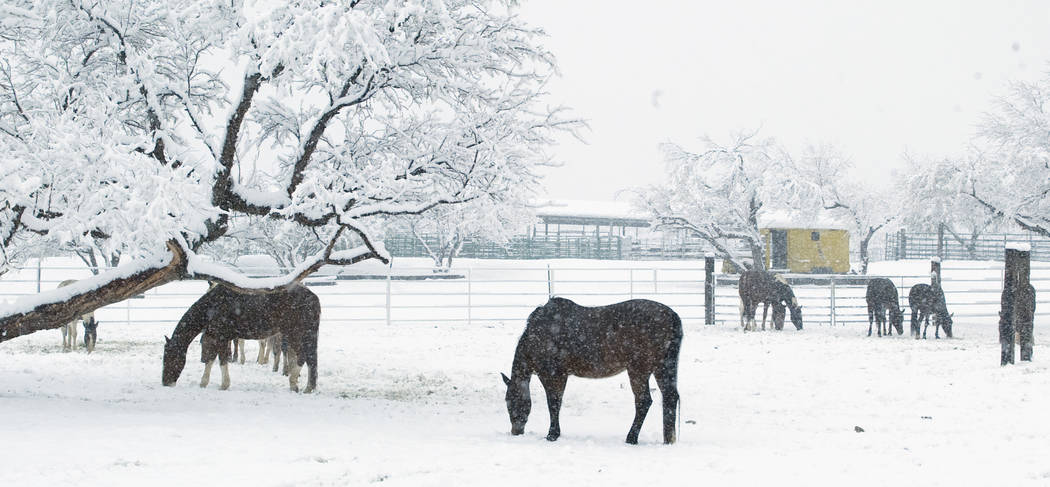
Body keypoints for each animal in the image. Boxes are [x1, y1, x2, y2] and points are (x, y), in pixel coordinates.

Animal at [161, 283, 319, 394]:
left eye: (170, 357)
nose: (165, 383)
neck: (213, 306)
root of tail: (313, 297)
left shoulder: (221, 337)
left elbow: (220, 360)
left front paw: (222, 385)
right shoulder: (218, 338)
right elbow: (212, 359)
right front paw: (204, 383)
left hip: (295, 333)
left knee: (302, 356)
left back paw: (294, 383)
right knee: (310, 359)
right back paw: (307, 387)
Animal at [497, 295, 680, 445]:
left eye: (509, 400)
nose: (516, 431)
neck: (537, 335)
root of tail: (672, 315)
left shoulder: (552, 374)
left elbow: (553, 403)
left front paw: (552, 435)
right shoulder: (562, 375)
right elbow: (557, 402)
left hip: (639, 370)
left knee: (643, 401)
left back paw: (631, 438)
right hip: (663, 368)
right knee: (670, 397)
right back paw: (667, 440)